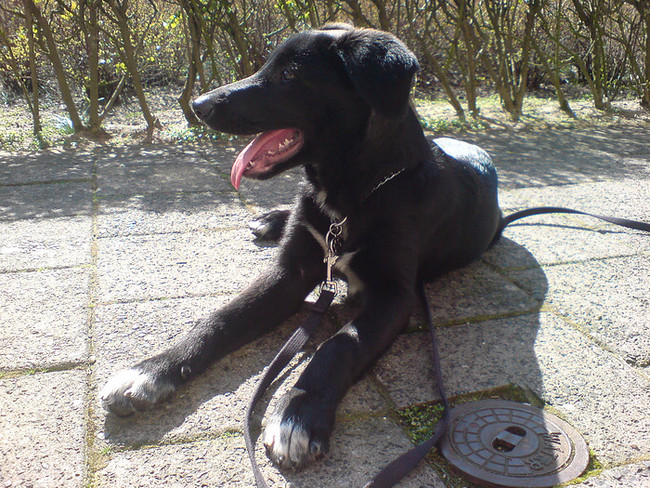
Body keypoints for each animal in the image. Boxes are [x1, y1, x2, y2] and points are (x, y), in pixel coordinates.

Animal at [101, 23, 503, 469]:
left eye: (289, 76)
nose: (198, 104)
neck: (349, 199)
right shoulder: (290, 271)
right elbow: (222, 318)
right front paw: (153, 370)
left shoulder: (396, 296)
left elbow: (339, 344)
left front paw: (298, 413)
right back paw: (272, 218)